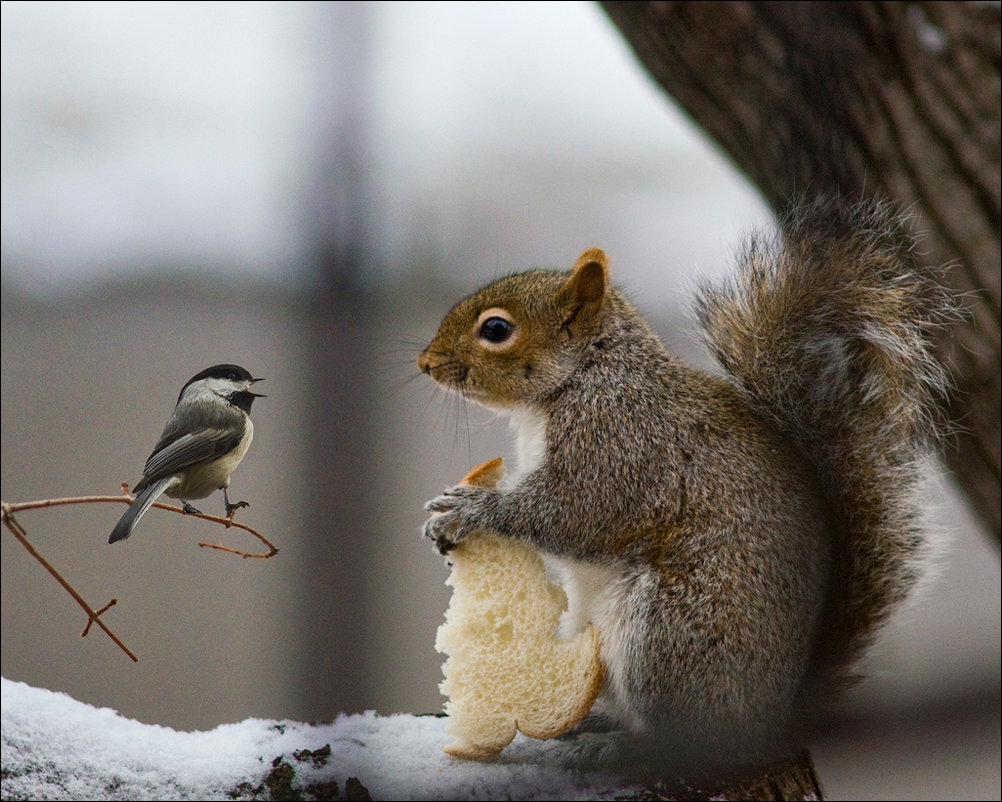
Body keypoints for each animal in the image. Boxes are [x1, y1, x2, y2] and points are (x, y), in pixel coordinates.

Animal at [416, 195, 953, 777]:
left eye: (495, 330)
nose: (425, 364)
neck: (587, 374)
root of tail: (769, 727)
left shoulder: (620, 444)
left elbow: (573, 512)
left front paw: (468, 510)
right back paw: (592, 720)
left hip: (668, 634)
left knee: (681, 739)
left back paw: (616, 747)